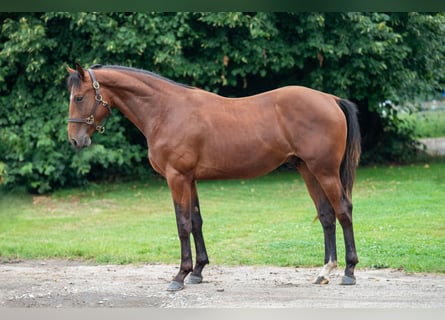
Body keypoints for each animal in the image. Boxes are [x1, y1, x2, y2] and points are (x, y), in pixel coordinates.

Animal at [67, 63, 362, 292]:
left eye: (79, 98)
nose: (75, 140)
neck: (166, 110)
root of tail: (330, 99)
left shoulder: (176, 178)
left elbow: (182, 224)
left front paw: (180, 276)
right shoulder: (190, 179)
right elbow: (196, 221)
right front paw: (198, 271)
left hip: (325, 171)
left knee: (343, 211)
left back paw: (349, 272)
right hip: (308, 170)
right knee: (326, 215)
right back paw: (325, 271)